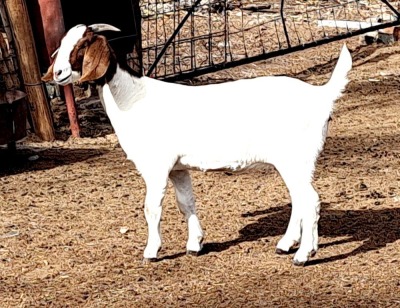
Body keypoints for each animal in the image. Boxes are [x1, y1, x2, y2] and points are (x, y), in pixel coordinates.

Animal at [42, 23, 352, 264]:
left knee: (310, 200)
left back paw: (303, 255)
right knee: (300, 199)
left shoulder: (156, 166)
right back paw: (289, 245)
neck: (132, 98)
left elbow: (151, 208)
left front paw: (151, 251)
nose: (57, 74)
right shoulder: (178, 168)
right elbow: (186, 203)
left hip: (296, 157)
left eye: (82, 45)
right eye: (62, 44)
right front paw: (195, 244)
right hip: (296, 162)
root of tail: (321, 96)